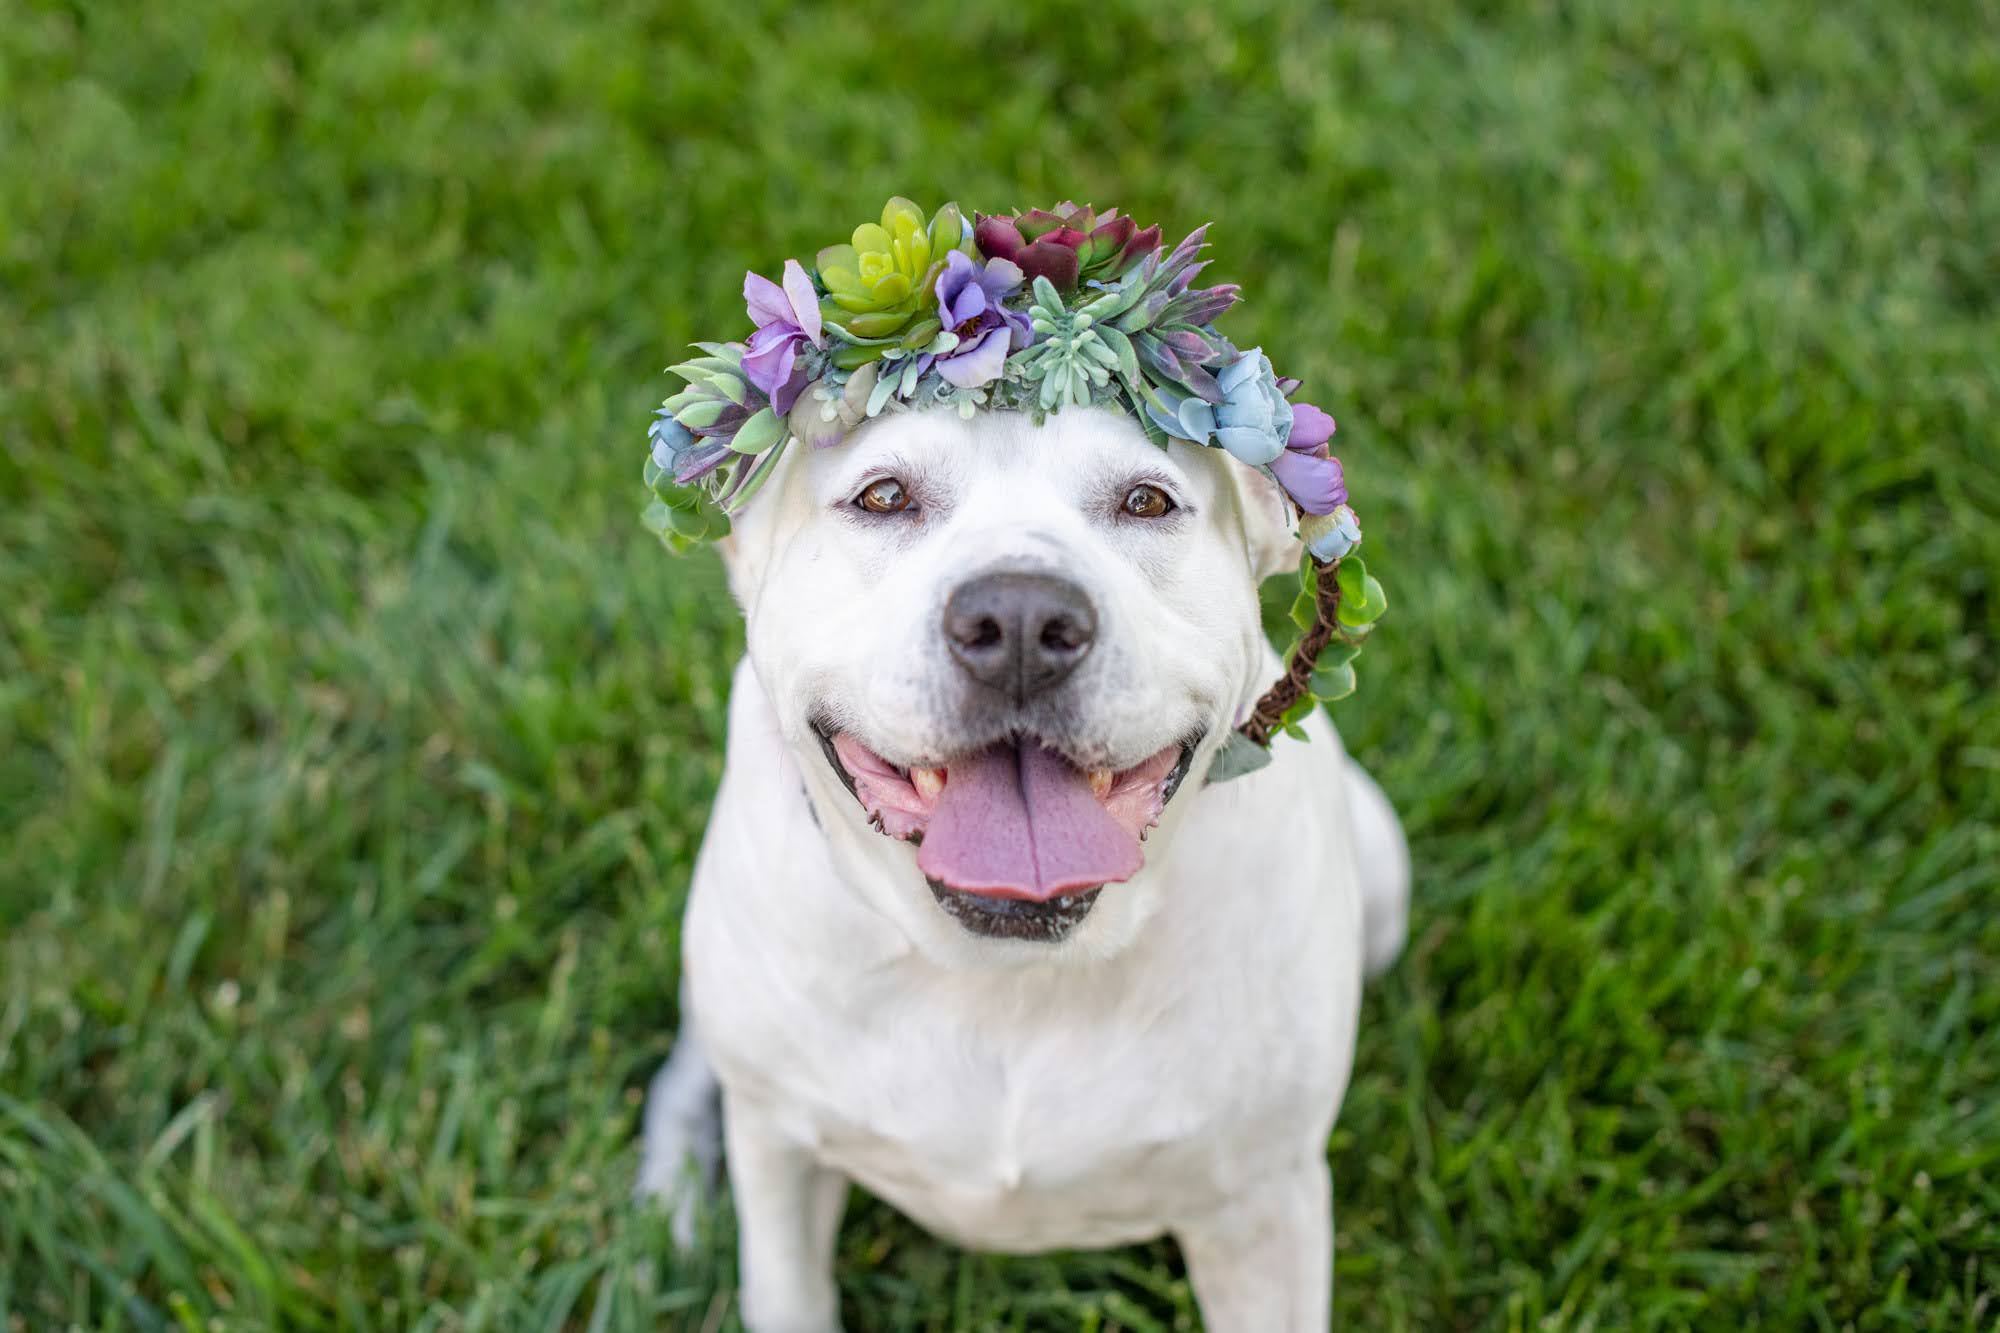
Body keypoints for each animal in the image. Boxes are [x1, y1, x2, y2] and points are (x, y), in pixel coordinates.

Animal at [636, 400, 1408, 1320]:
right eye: (884, 495)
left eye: (1146, 501)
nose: (1019, 624)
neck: (1004, 972)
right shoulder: (781, 1152)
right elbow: (788, 1292)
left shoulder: (1265, 1202)